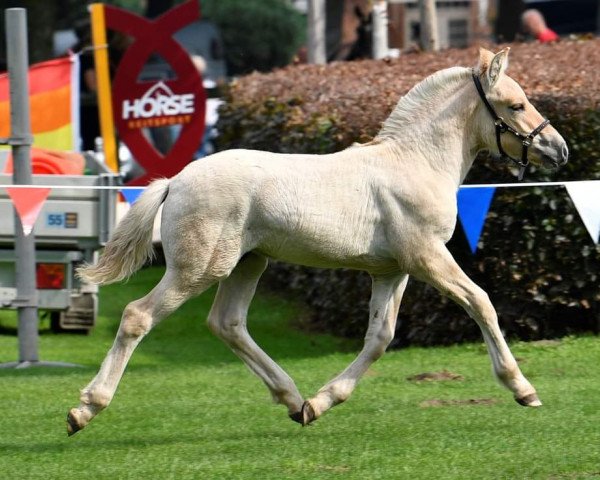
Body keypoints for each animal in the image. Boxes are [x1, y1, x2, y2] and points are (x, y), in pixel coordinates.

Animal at [65, 47, 568, 436]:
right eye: (516, 105)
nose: (559, 150)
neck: (415, 162)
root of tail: (175, 180)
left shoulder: (392, 270)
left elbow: (380, 337)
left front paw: (324, 401)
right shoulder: (427, 257)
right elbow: (481, 302)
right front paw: (523, 389)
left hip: (248, 264)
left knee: (227, 323)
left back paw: (294, 401)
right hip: (198, 268)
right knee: (138, 316)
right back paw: (84, 409)